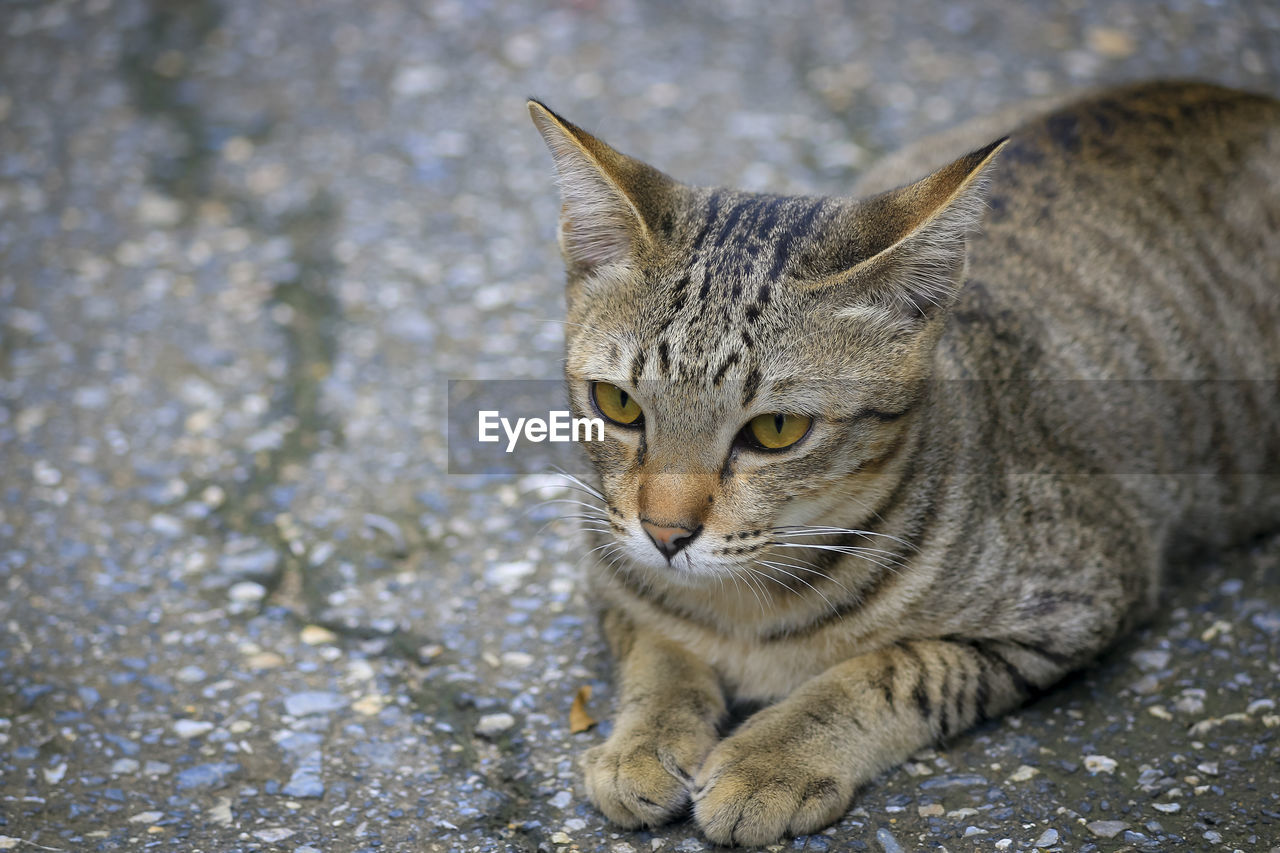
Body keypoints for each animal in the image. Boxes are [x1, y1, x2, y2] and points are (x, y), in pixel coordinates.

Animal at [524, 83, 1274, 840]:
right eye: (618, 404)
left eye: (775, 429)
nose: (666, 534)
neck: (745, 610)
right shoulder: (608, 570)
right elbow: (657, 650)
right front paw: (642, 740)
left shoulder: (1080, 599)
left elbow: (891, 671)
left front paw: (772, 756)